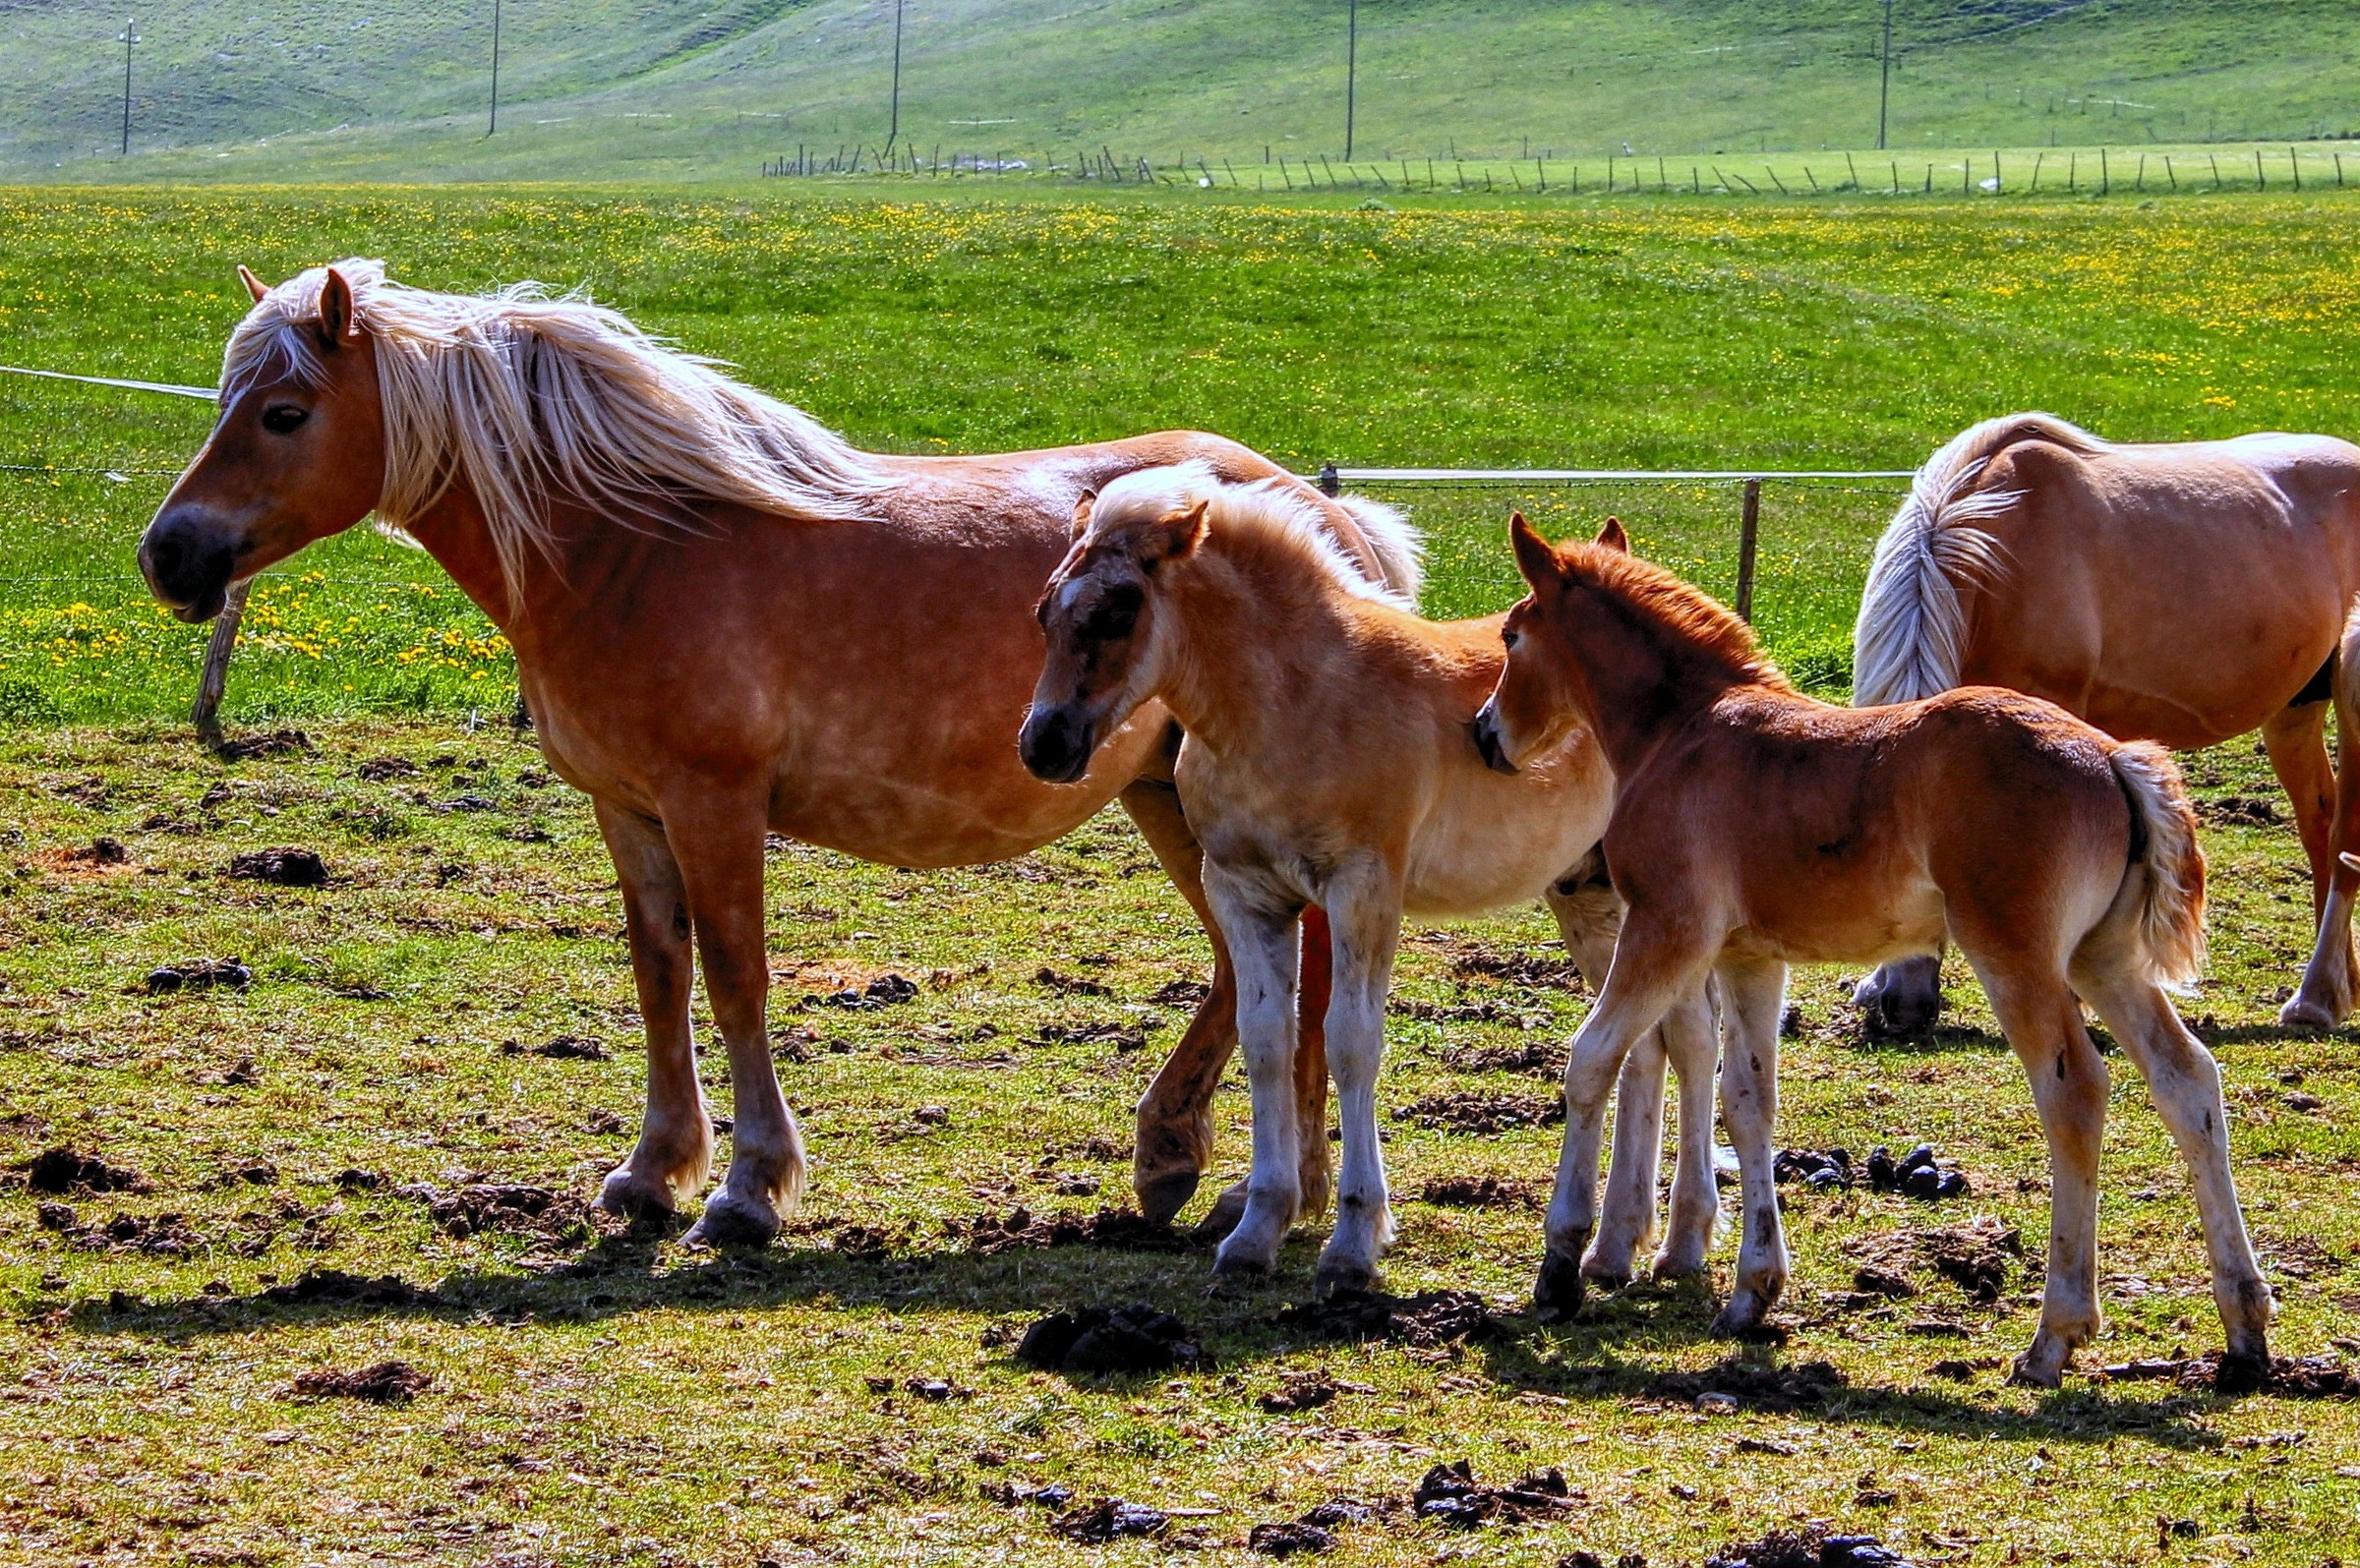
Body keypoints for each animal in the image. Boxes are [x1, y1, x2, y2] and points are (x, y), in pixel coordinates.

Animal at [136, 260, 1401, 1245]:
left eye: (284, 413)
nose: (168, 555)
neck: (627, 545)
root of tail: (1324, 519)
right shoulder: (629, 808)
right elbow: (660, 972)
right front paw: (651, 1171)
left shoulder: (715, 801)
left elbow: (737, 974)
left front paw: (746, 1187)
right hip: (1160, 796)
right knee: (1258, 971)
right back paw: (1203, 1168)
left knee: (1291, 974)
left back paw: (1246, 1184)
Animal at [1020, 465, 1721, 1294]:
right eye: (1044, 608)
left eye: (1120, 608)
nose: (1044, 742)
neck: (1296, 701)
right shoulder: (1245, 892)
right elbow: (1268, 1039)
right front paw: (1256, 1230)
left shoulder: (1362, 890)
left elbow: (1350, 1041)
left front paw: (1354, 1240)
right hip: (1590, 895)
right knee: (1644, 1047)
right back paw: (1616, 1244)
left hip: (1663, 904)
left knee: (1694, 1040)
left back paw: (1680, 1241)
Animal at [1473, 514, 2271, 1389]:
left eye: (1512, 635)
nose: (1484, 734)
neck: (1679, 731)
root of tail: (2111, 755)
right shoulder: (1750, 956)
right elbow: (1748, 1101)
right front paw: (1753, 1292)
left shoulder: (1667, 928)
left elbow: (1591, 1059)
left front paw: (1560, 1267)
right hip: (2104, 957)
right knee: (2187, 1080)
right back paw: (2245, 1327)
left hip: (2017, 954)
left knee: (2076, 1092)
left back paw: (2053, 1336)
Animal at [1848, 413, 2360, 1035]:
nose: (1904, 1008)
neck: (2001, 545)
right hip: (2295, 711)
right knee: (2319, 824)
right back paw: (2336, 988)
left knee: (2343, 837)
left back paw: (2314, 996)